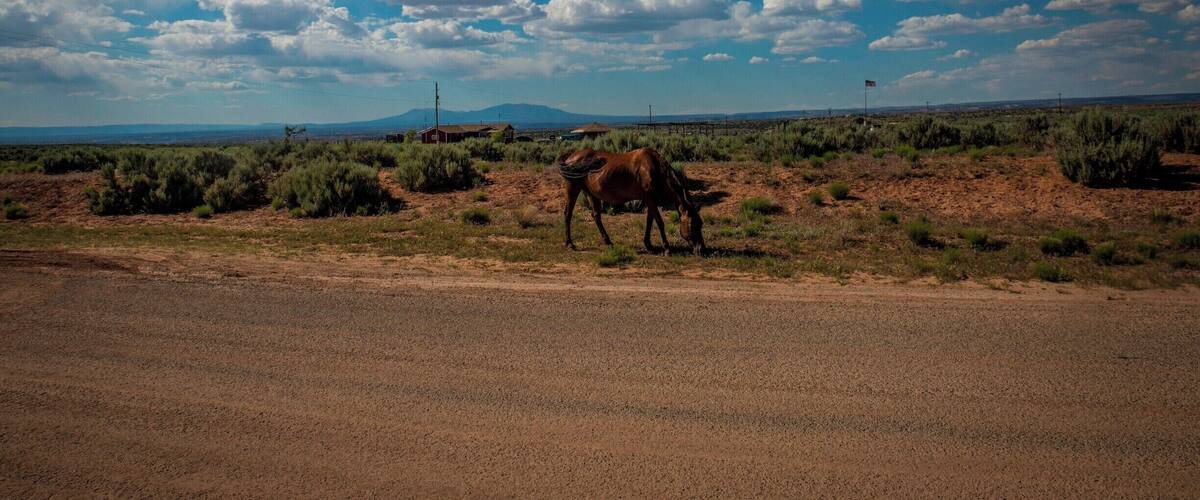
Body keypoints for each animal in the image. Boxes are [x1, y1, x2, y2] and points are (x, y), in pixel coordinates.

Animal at [556, 147, 705, 255]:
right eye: (692, 224)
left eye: (701, 223)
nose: (701, 249)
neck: (654, 168)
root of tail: (570, 157)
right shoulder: (650, 200)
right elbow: (659, 222)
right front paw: (667, 248)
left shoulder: (650, 200)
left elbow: (649, 221)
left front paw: (648, 245)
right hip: (573, 189)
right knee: (568, 214)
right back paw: (570, 243)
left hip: (592, 194)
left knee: (596, 216)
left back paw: (608, 242)